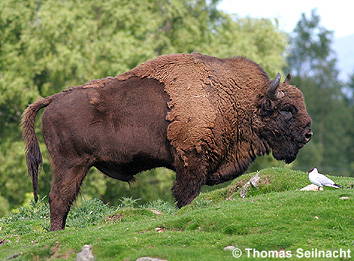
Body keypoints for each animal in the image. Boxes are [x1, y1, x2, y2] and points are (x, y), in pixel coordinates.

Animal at [21, 52, 312, 230]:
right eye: (287, 109)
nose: (308, 133)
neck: (230, 98)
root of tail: (53, 99)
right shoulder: (191, 161)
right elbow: (186, 195)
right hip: (71, 165)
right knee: (60, 198)